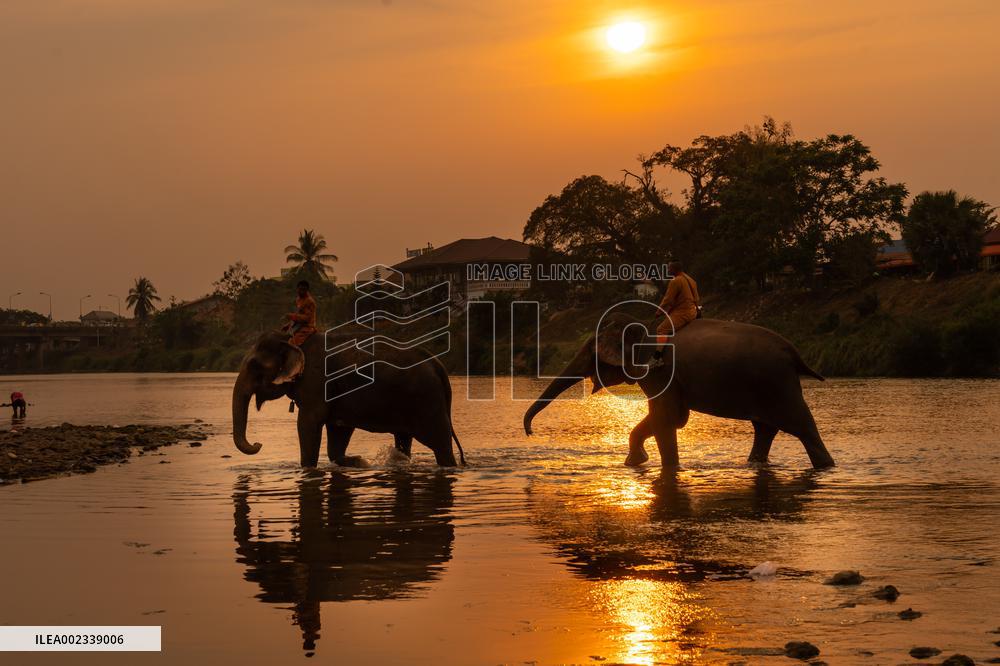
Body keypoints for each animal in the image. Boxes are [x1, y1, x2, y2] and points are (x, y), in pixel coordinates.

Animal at [232, 330, 465, 467]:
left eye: (254, 365)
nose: (259, 443)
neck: (292, 340)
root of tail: (437, 365)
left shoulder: (317, 382)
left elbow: (309, 423)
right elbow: (338, 431)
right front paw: (357, 461)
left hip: (428, 401)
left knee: (440, 444)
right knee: (403, 439)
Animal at [523, 314, 834, 469]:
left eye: (590, 350)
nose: (529, 432)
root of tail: (794, 353)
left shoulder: (660, 372)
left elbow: (667, 418)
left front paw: (663, 467)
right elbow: (669, 418)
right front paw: (635, 462)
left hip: (778, 384)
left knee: (803, 427)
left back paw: (826, 466)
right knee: (765, 429)